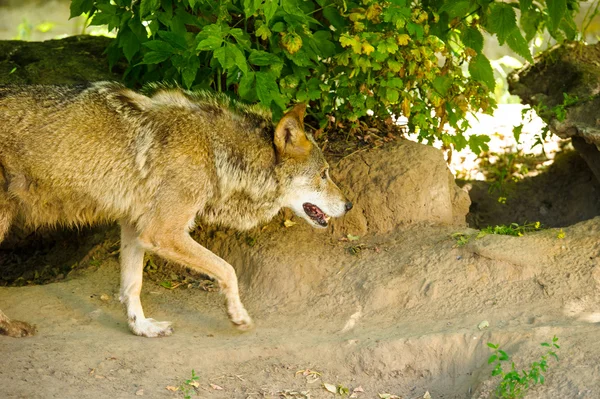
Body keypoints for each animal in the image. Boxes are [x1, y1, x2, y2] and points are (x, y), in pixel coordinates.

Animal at [0, 83, 352, 340]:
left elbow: (132, 286)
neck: (216, 153)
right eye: (324, 174)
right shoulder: (162, 232)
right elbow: (227, 269)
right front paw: (238, 316)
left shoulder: (135, 226)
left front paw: (141, 328)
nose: (348, 205)